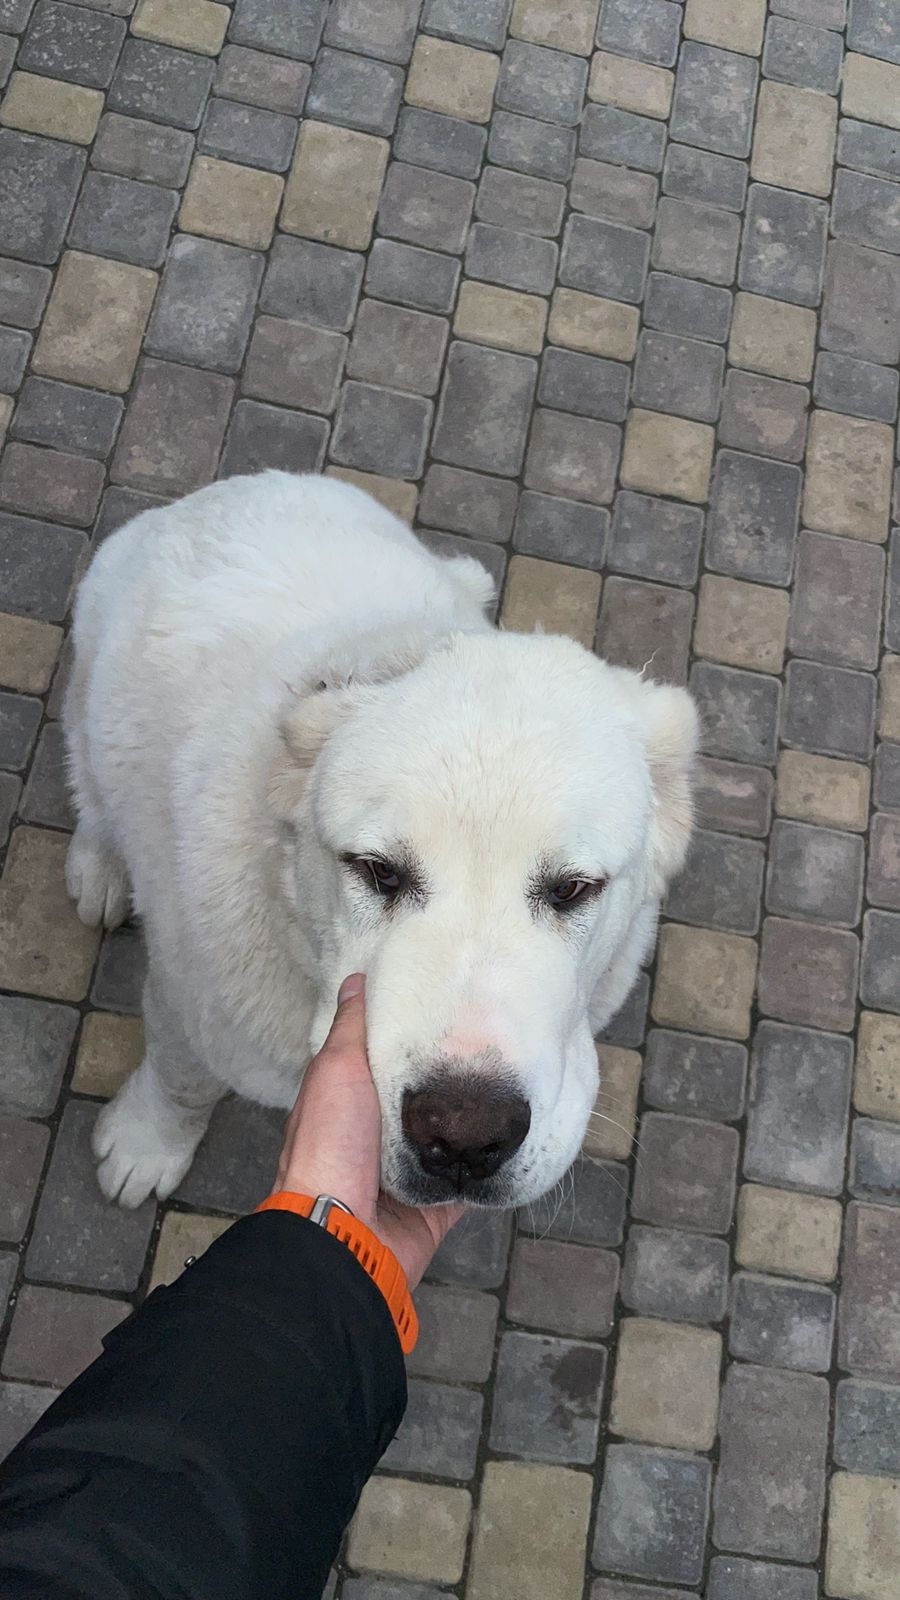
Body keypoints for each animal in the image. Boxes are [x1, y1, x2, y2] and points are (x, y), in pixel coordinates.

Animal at [63, 472, 698, 1212]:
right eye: (378, 871)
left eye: (572, 889)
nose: (463, 1135)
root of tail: (244, 484)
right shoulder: (186, 999)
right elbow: (180, 1079)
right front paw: (145, 1146)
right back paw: (101, 867)